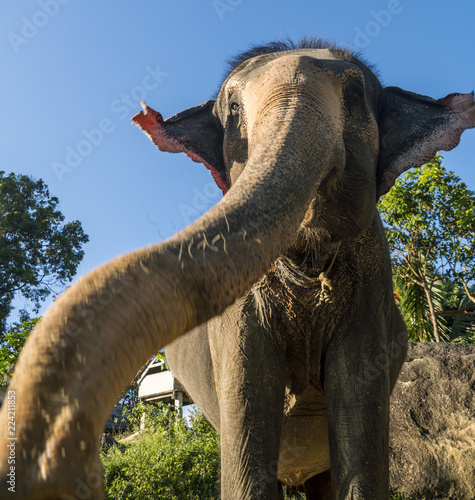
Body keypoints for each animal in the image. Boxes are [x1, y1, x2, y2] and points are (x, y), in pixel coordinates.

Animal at [0, 37, 474, 498]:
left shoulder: (373, 286)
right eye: (231, 109)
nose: (67, 467)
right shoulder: (237, 317)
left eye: (356, 94)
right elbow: (247, 421)